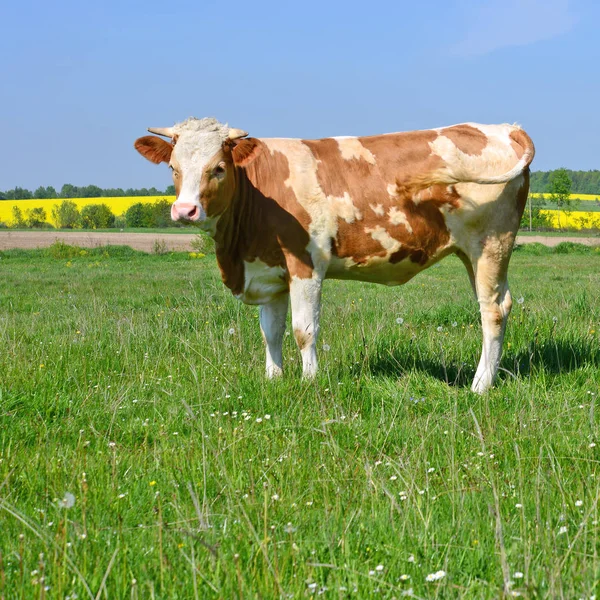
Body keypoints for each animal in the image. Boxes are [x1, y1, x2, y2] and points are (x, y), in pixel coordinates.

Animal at [135, 117, 536, 394]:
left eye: (218, 168)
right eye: (173, 167)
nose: (184, 210)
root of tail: (503, 127)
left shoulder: (306, 265)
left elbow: (304, 330)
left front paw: (310, 381)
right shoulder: (269, 273)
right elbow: (271, 332)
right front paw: (273, 379)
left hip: (490, 245)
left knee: (493, 310)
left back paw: (480, 386)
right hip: (471, 252)